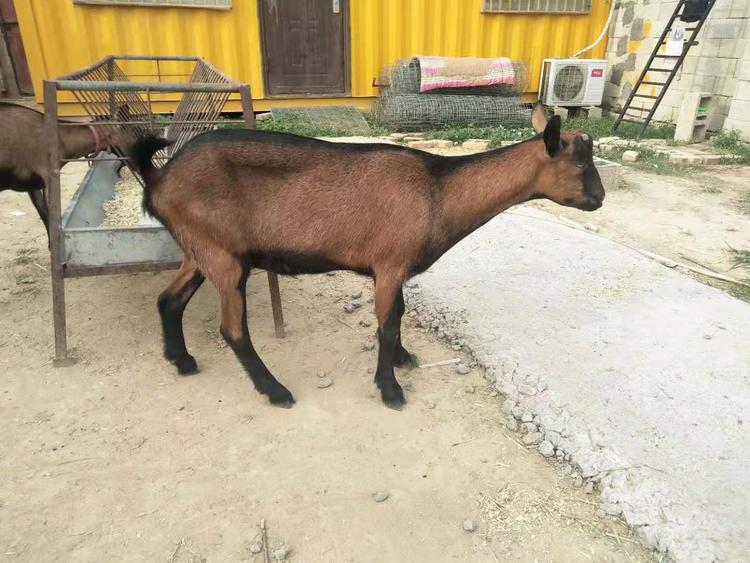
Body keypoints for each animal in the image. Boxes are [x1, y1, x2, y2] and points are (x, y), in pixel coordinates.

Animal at [127, 102, 604, 410]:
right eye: (581, 163)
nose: (599, 199)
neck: (438, 191)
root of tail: (159, 177)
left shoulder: (393, 270)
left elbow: (399, 315)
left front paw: (403, 360)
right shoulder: (389, 264)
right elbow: (387, 326)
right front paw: (390, 389)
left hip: (200, 250)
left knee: (169, 299)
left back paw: (183, 361)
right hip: (224, 257)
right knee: (232, 329)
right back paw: (276, 391)